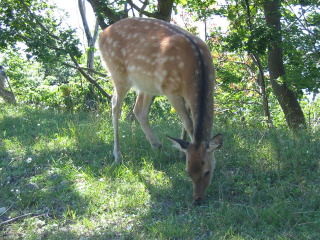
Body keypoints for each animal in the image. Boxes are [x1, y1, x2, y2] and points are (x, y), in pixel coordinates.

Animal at [99, 17, 222, 204]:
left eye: (207, 171)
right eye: (188, 172)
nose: (197, 199)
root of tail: (101, 35)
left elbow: (187, 123)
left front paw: (180, 150)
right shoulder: (171, 91)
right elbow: (189, 124)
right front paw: (183, 151)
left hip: (146, 83)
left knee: (138, 110)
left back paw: (156, 144)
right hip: (118, 73)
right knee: (115, 106)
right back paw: (118, 155)